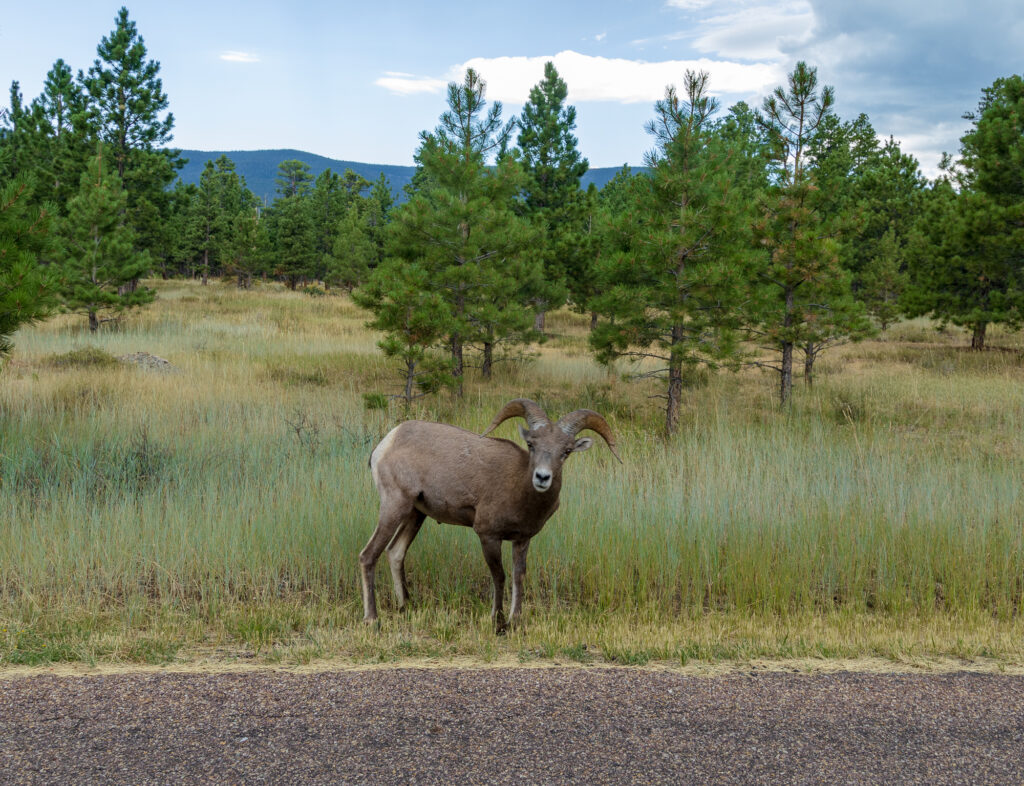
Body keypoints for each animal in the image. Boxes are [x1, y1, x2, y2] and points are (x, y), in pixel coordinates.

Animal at [360, 399, 618, 630]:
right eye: (531, 445)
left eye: (566, 451)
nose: (542, 477)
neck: (518, 489)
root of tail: (386, 444)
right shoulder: (488, 536)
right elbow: (499, 576)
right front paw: (498, 621)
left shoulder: (522, 540)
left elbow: (518, 576)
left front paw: (516, 621)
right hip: (394, 507)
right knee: (368, 555)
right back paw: (372, 619)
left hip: (415, 514)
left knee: (395, 552)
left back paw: (406, 606)